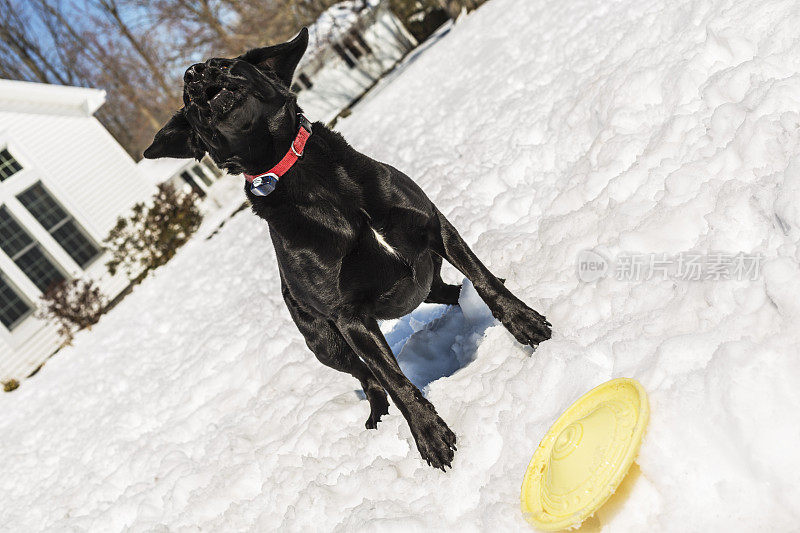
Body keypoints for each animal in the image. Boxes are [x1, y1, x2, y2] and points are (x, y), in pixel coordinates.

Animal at [144, 29, 552, 470]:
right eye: (187, 101)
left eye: (221, 64)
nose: (191, 73)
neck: (306, 177)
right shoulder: (349, 316)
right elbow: (393, 379)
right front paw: (429, 436)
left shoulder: (435, 227)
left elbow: (485, 281)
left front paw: (527, 324)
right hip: (325, 344)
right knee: (368, 377)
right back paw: (377, 414)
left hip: (423, 283)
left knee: (453, 291)